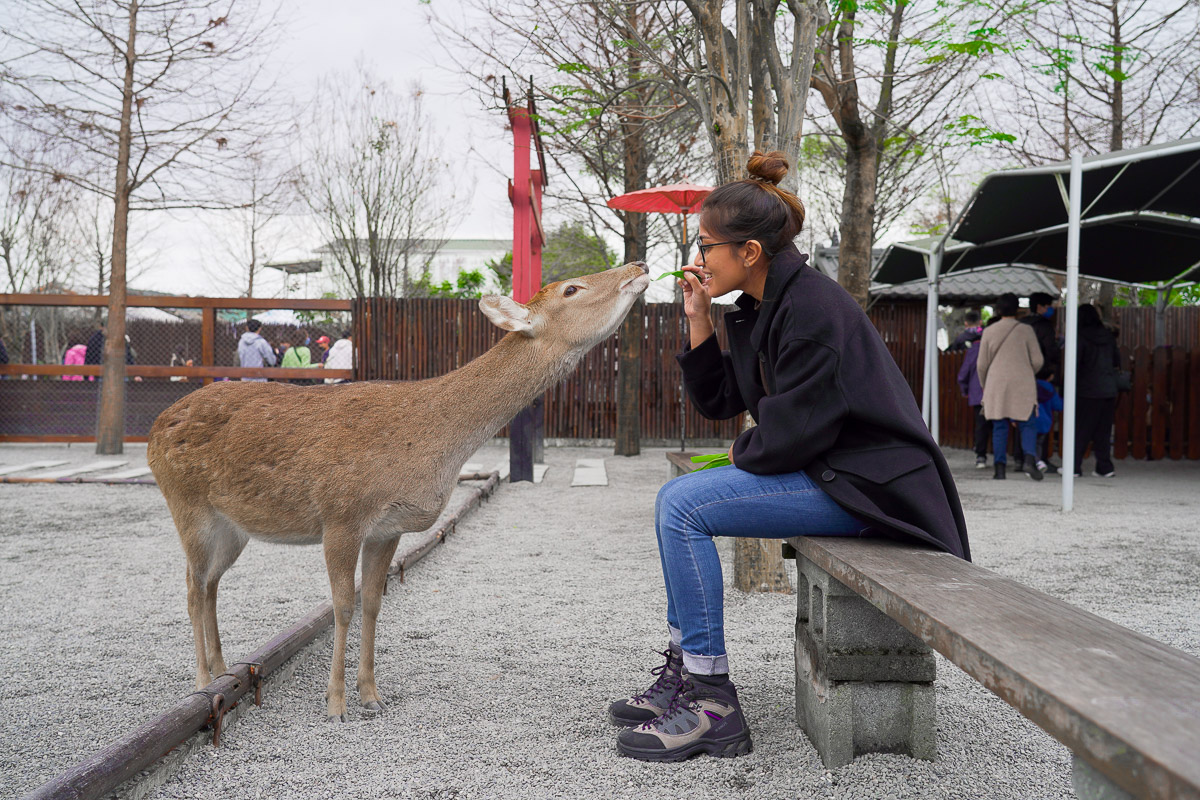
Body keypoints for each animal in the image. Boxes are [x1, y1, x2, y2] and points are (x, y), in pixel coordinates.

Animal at [150, 261, 652, 719]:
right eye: (572, 288)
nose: (639, 265)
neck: (430, 444)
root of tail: (157, 425)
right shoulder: (342, 515)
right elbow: (342, 605)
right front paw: (336, 705)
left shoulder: (387, 528)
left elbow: (373, 603)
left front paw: (372, 696)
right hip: (186, 504)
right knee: (192, 586)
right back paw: (203, 683)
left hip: (232, 527)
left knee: (212, 584)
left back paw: (222, 670)